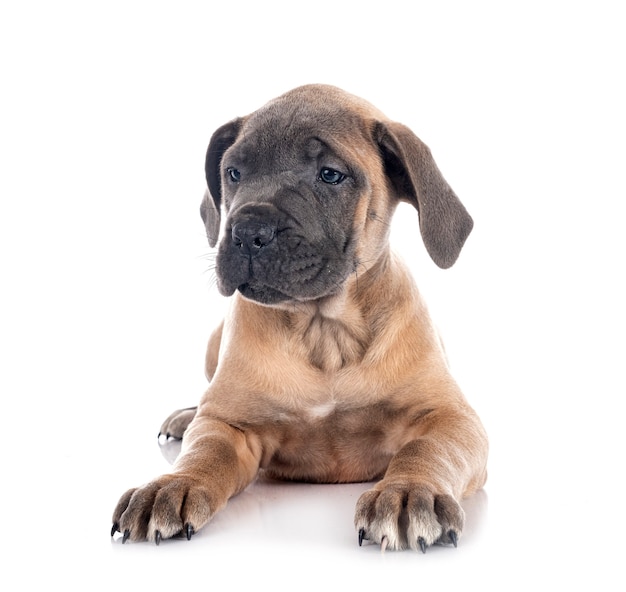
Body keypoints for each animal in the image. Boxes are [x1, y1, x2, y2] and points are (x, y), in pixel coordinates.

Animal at [109, 83, 486, 552]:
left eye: (330, 175)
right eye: (233, 173)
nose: (247, 232)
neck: (324, 331)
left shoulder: (452, 418)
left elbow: (428, 450)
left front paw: (409, 490)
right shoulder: (229, 424)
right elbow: (205, 451)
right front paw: (172, 483)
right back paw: (185, 416)